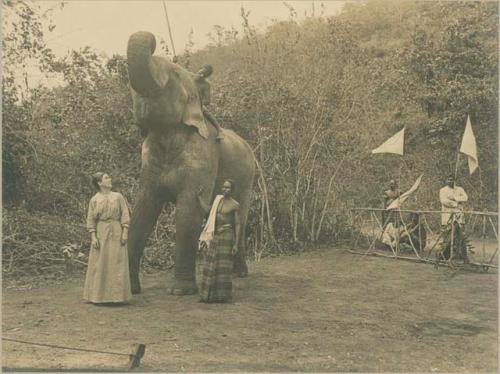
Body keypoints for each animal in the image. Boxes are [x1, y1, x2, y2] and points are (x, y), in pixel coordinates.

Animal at [127, 31, 256, 296]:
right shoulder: (148, 158)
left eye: (174, 75)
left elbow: (188, 211)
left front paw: (181, 291)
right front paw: (131, 289)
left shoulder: (203, 155)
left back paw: (240, 274)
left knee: (242, 216)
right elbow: (143, 208)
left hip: (249, 178)